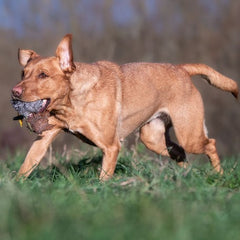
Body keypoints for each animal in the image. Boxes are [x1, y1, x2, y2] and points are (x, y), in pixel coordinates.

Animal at [11, 34, 238, 180]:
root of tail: (181, 68)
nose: (15, 92)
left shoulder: (111, 147)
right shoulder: (44, 138)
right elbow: (27, 165)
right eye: (23, 73)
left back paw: (219, 176)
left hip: (189, 133)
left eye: (43, 75)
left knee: (210, 144)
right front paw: (15, 188)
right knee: (180, 153)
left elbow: (104, 178)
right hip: (153, 138)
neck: (72, 101)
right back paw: (185, 177)